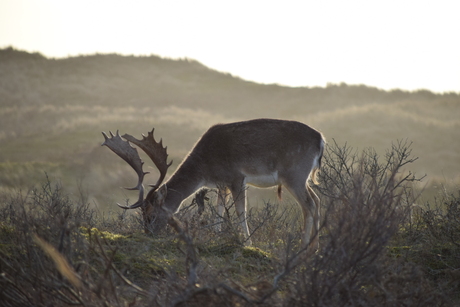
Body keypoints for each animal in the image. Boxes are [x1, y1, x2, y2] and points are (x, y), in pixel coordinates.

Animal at [102, 118, 326, 250]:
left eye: (152, 214)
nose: (148, 234)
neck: (206, 168)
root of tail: (321, 140)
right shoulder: (222, 183)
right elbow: (218, 211)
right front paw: (216, 237)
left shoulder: (236, 177)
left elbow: (240, 211)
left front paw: (248, 243)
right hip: (302, 177)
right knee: (317, 199)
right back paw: (315, 248)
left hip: (294, 174)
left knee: (308, 204)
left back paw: (303, 247)